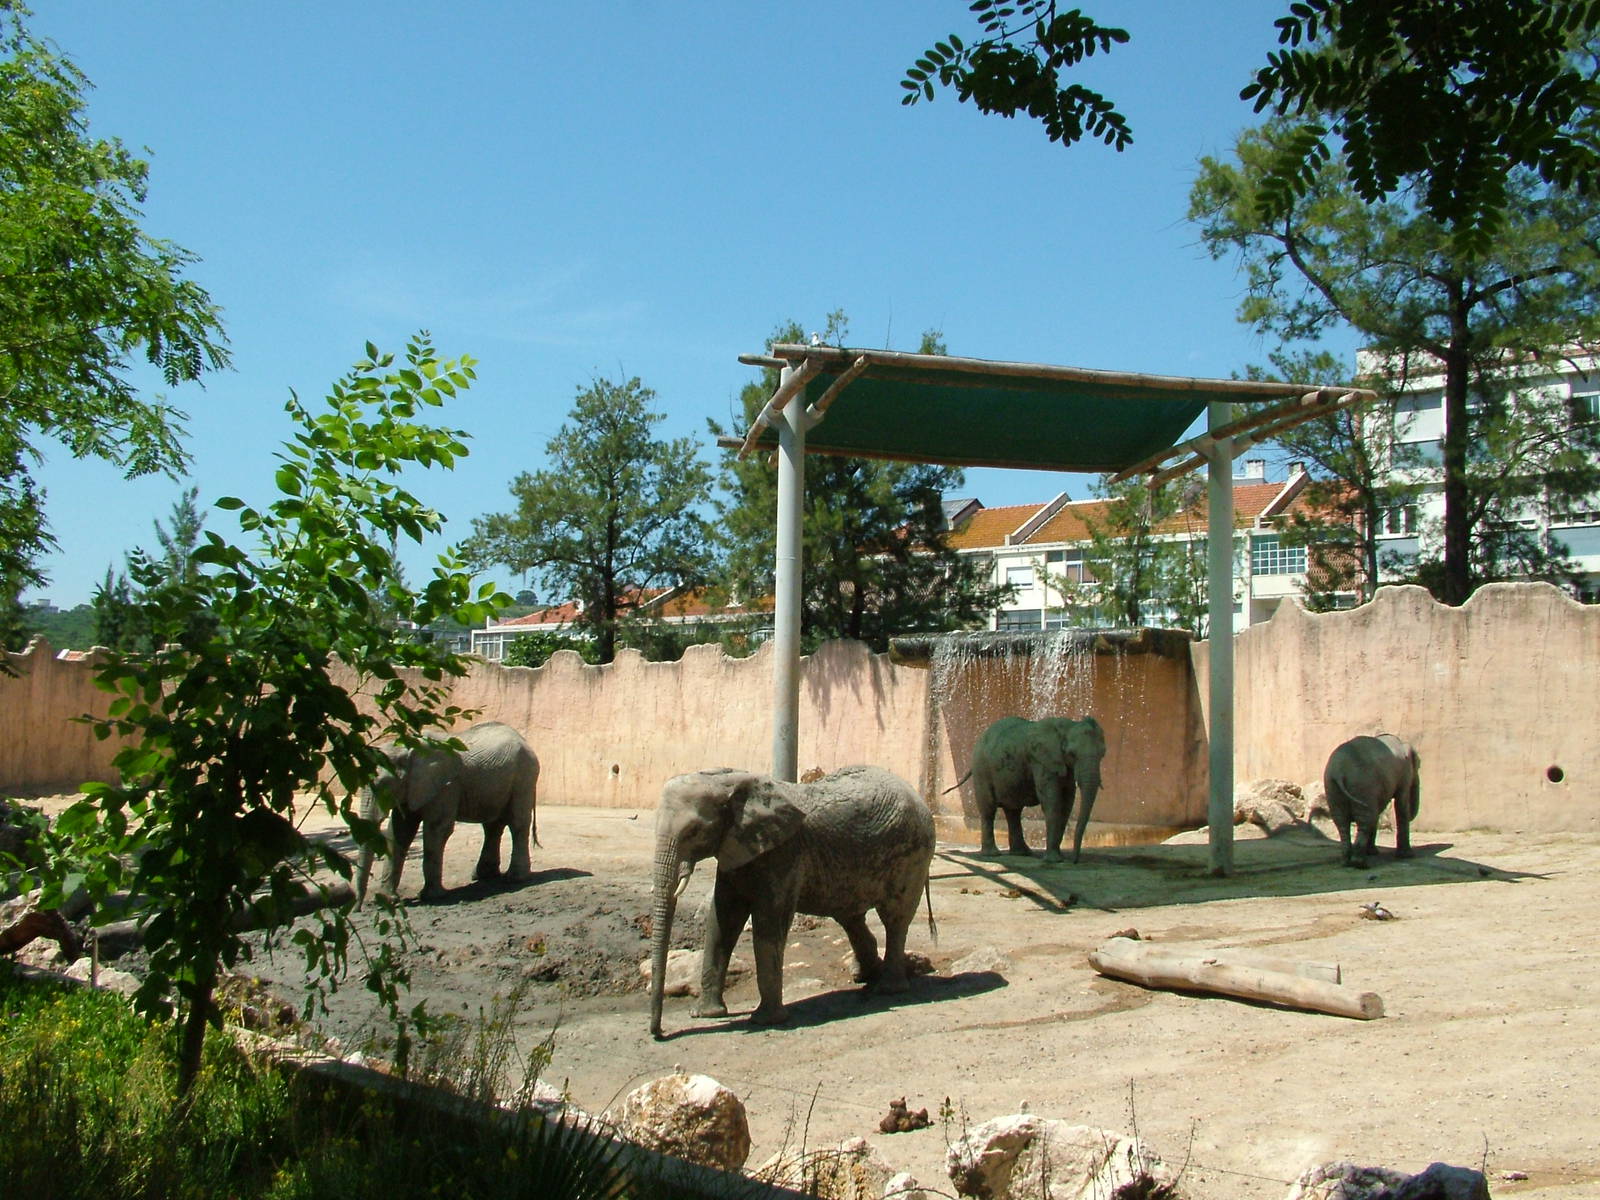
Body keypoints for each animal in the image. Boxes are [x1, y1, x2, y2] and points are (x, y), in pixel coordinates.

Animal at [355, 721, 540, 902]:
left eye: (383, 786)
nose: (358, 905)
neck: (408, 748)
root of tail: (523, 740)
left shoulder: (446, 786)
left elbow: (436, 829)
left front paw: (430, 897)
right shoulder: (411, 789)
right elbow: (399, 832)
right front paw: (388, 899)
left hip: (524, 776)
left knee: (517, 822)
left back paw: (515, 878)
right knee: (492, 826)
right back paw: (483, 876)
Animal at [648, 764, 936, 1038]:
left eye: (694, 831)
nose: (659, 1033)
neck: (731, 782)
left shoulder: (784, 853)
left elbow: (768, 925)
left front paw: (766, 1021)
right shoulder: (735, 849)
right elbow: (722, 920)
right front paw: (705, 1014)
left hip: (912, 853)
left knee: (895, 919)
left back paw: (887, 989)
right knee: (850, 917)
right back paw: (865, 977)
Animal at [946, 715, 1106, 863]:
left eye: (1103, 754)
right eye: (1072, 754)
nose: (1074, 860)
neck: (1067, 726)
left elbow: (1067, 803)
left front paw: (1059, 857)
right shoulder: (1040, 760)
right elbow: (1052, 802)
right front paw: (1054, 860)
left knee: (1013, 811)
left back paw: (1022, 853)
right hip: (982, 769)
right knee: (989, 809)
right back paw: (992, 854)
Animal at [1323, 733, 1419, 868]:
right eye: (1418, 766)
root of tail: (1339, 772)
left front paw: (1372, 853)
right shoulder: (1404, 774)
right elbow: (1401, 804)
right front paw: (1408, 856)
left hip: (1333, 787)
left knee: (1342, 821)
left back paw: (1346, 862)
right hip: (1362, 785)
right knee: (1366, 819)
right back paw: (1360, 864)